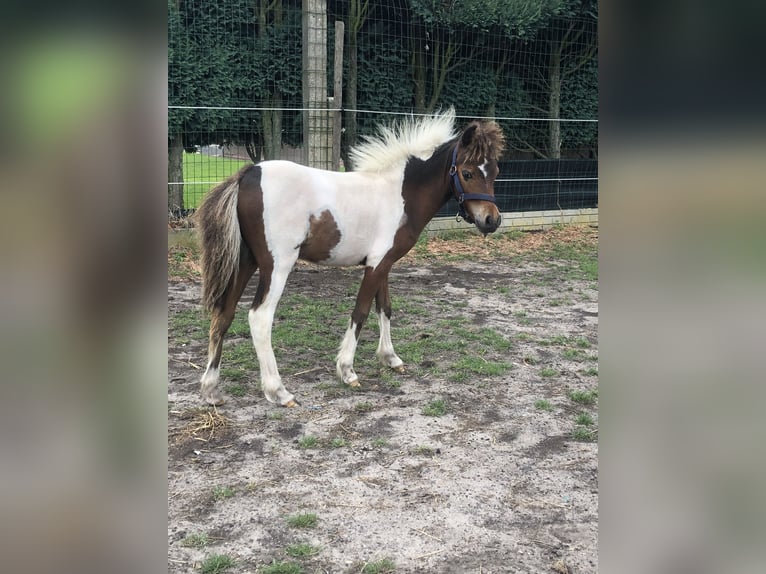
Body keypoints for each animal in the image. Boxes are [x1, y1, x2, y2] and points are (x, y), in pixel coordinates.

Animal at [196, 107, 504, 404]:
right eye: (467, 173)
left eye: (495, 171)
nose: (492, 220)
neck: (400, 193)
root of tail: (248, 172)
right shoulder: (376, 266)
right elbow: (361, 311)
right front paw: (347, 370)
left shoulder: (383, 263)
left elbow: (385, 308)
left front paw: (390, 358)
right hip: (276, 266)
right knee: (260, 317)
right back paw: (279, 392)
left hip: (245, 261)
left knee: (224, 312)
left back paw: (211, 389)